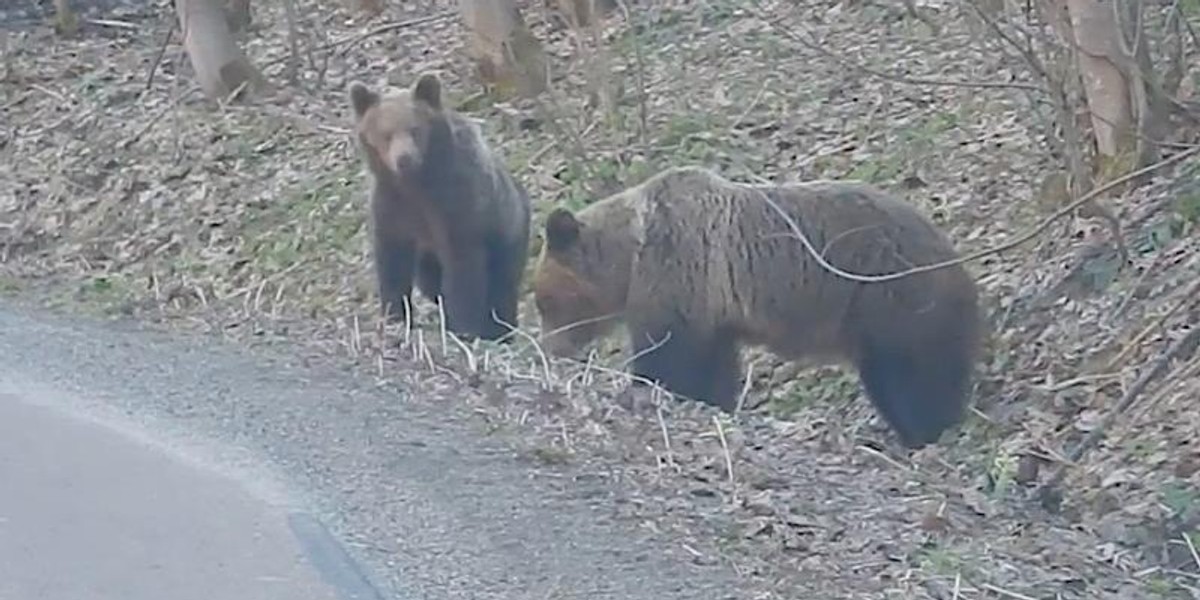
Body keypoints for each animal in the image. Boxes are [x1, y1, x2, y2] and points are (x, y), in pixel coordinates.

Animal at [350, 72, 532, 340]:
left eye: (414, 129)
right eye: (386, 133)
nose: (404, 158)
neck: (417, 184)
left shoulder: (456, 205)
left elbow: (463, 270)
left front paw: (463, 327)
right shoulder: (391, 207)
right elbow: (392, 262)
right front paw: (394, 318)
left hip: (506, 232)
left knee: (501, 284)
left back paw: (499, 329)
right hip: (428, 257)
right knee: (430, 283)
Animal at [537, 166, 984, 448]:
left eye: (545, 302)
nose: (549, 348)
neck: (631, 257)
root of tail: (957, 261)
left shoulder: (681, 274)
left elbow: (670, 358)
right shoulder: (715, 311)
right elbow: (713, 366)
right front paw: (715, 401)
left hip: (890, 297)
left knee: (911, 375)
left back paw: (926, 430)